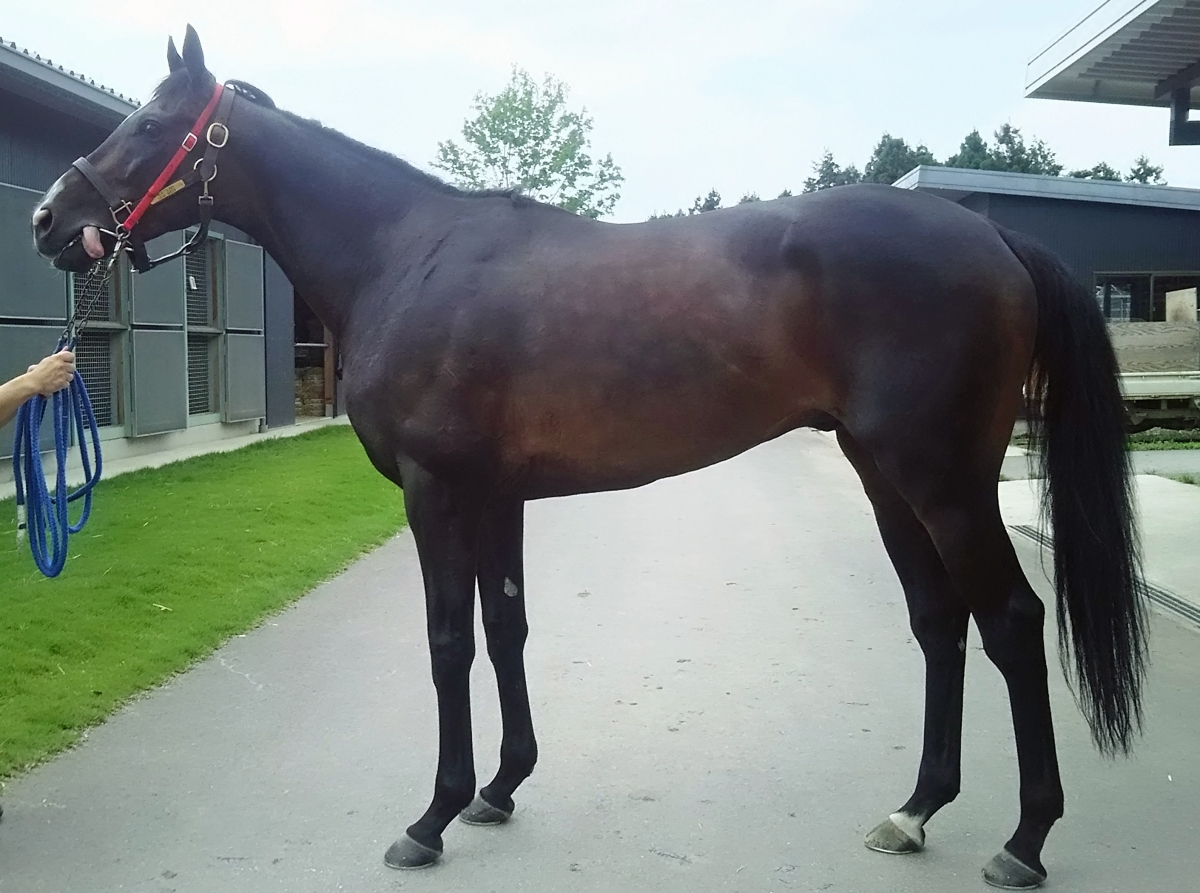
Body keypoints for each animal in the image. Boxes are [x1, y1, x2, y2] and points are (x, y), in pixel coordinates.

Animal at [31, 27, 1147, 889]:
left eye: (147, 126)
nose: (49, 219)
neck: (408, 255)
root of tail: (993, 240)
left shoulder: (438, 493)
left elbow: (448, 640)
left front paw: (431, 816)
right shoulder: (496, 496)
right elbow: (507, 627)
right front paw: (498, 787)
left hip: (944, 479)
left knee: (1012, 623)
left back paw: (1023, 839)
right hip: (886, 477)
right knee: (939, 623)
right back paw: (915, 808)